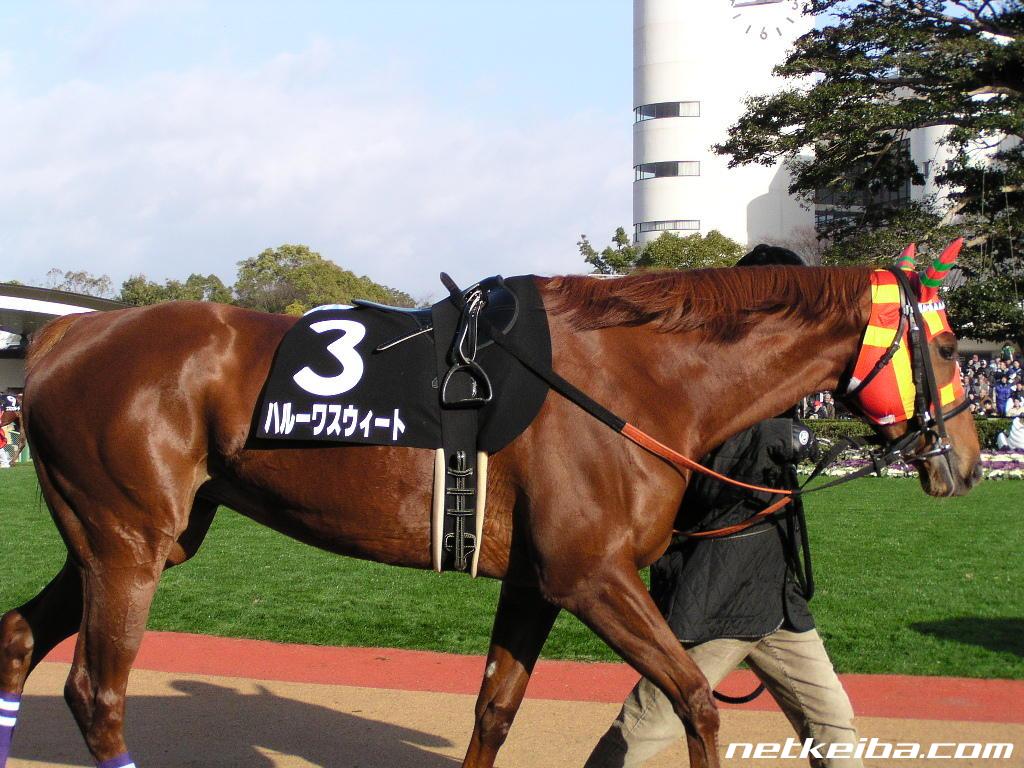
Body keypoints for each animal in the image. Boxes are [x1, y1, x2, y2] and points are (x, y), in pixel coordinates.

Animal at [0, 266, 983, 768]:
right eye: (944, 344)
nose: (969, 461)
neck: (630, 379)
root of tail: (62, 333)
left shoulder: (538, 581)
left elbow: (495, 710)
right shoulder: (594, 577)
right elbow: (698, 703)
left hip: (118, 539)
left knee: (19, 637)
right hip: (129, 542)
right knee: (97, 693)